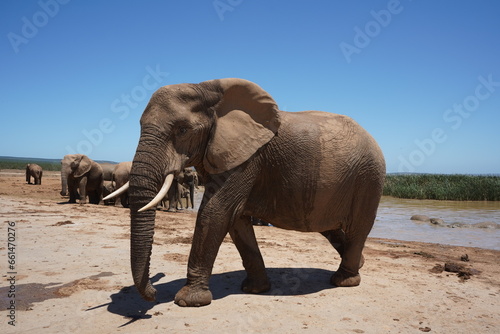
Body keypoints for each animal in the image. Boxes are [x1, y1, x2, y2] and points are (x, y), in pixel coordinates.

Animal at [106, 77, 386, 306]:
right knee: (327, 226)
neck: (206, 88)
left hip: (369, 177)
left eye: (183, 130)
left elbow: (217, 211)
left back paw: (344, 280)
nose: (153, 293)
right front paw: (255, 289)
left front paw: (188, 300)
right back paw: (358, 264)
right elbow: (236, 219)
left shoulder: (248, 158)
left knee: (358, 226)